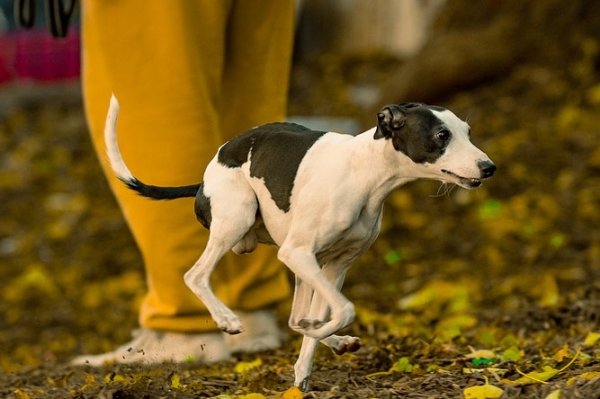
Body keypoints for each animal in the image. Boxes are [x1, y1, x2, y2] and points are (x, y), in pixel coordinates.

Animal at [104, 96, 496, 390]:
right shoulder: (299, 254)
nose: (489, 167)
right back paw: (227, 319)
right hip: (237, 222)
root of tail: (206, 175)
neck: (364, 171)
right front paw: (320, 336)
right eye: (441, 135)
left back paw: (326, 337)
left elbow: (323, 317)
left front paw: (306, 367)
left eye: (467, 132)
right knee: (195, 276)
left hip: (294, 265)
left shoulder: (333, 265)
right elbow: (344, 310)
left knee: (295, 316)